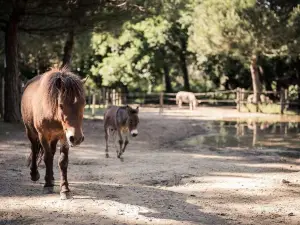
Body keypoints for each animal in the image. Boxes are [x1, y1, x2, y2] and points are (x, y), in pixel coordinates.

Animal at [21, 67, 85, 200]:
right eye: (61, 105)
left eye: (83, 104)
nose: (77, 138)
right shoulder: (43, 135)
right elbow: (47, 157)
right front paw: (47, 185)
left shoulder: (64, 136)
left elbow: (62, 161)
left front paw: (65, 189)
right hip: (30, 132)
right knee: (34, 149)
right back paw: (35, 174)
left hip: (54, 137)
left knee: (52, 151)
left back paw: (51, 177)